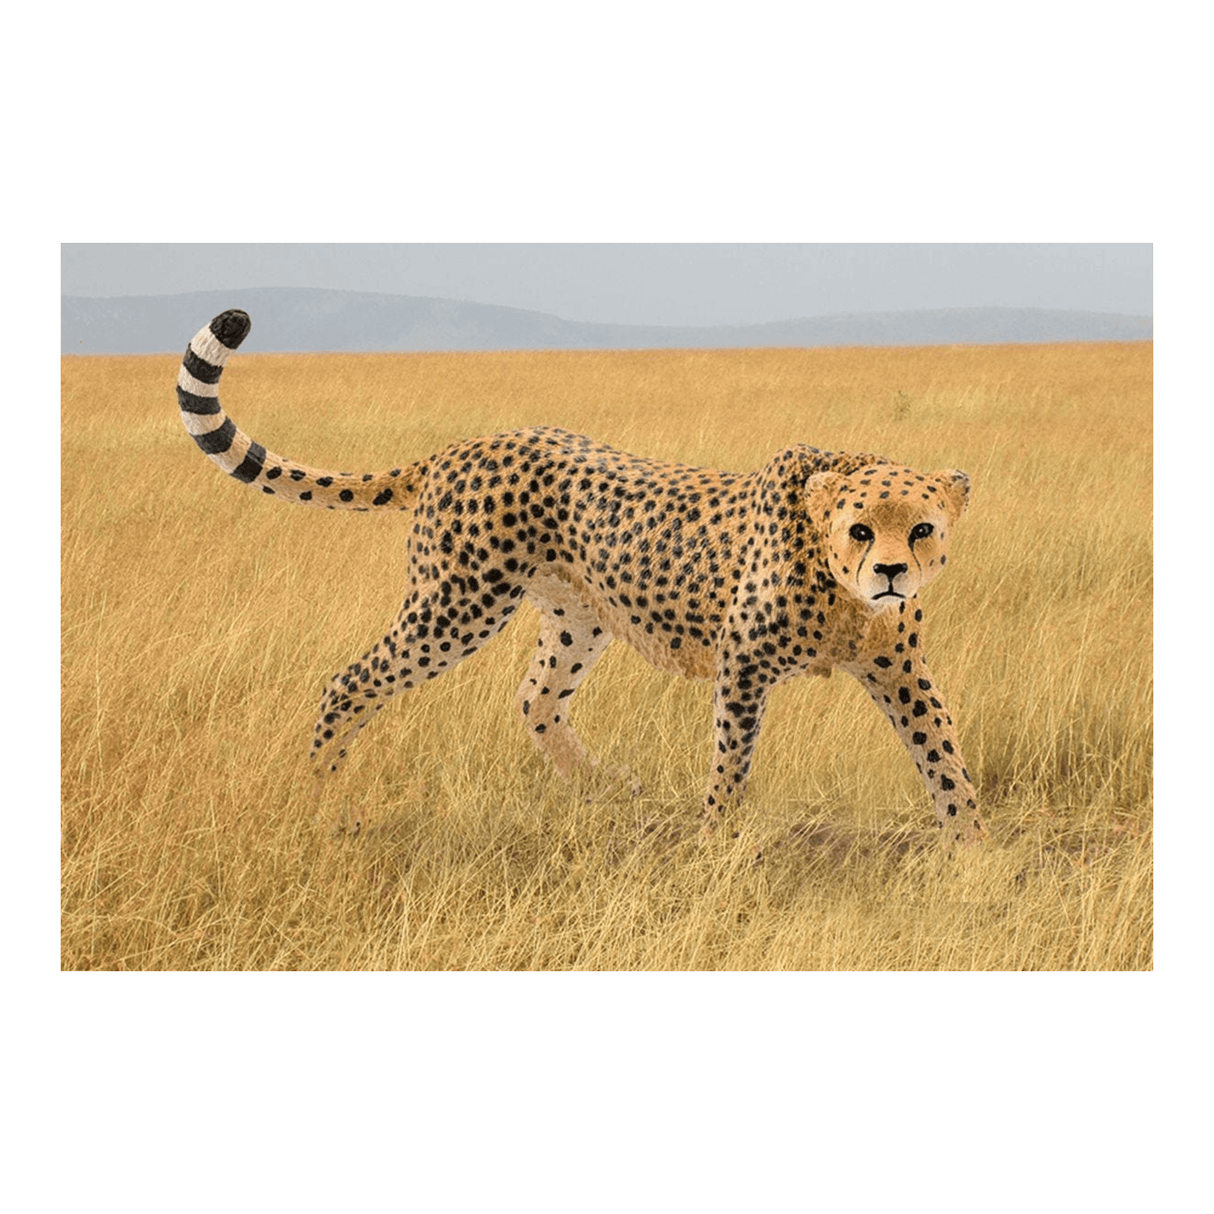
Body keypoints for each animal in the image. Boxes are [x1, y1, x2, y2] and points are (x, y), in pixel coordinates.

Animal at [177, 309, 983, 845]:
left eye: (921, 528)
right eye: (859, 529)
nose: (890, 572)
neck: (842, 591)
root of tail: (465, 444)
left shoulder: (898, 666)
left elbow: (942, 752)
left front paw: (973, 848)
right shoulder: (744, 664)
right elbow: (732, 760)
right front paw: (718, 842)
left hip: (576, 615)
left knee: (535, 697)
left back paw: (604, 786)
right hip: (457, 603)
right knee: (351, 681)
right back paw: (323, 794)